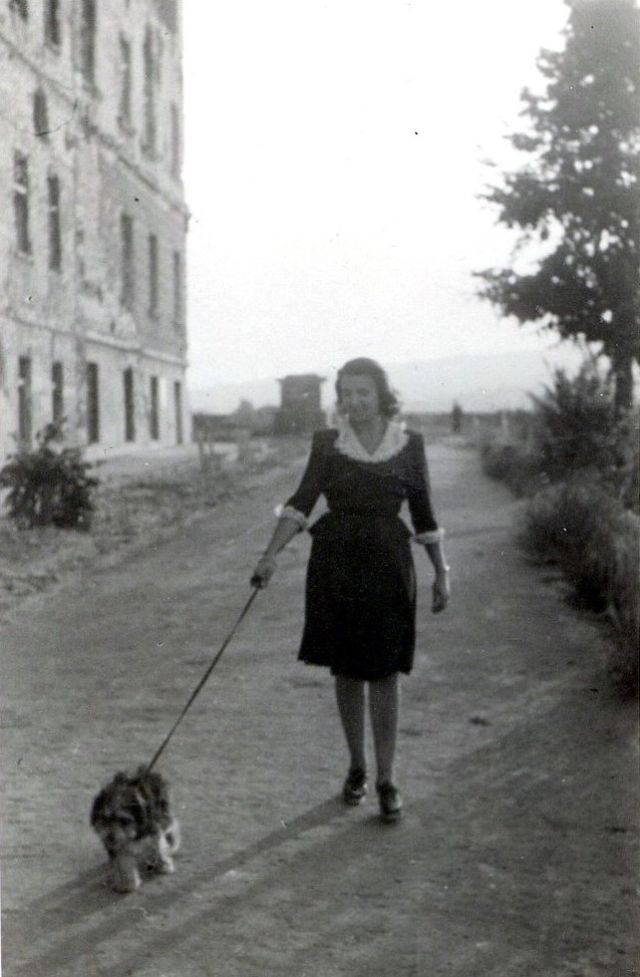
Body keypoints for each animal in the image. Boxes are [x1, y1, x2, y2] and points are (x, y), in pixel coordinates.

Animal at [90, 768, 181, 896]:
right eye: (105, 819)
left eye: (123, 820)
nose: (110, 837)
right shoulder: (120, 844)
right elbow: (124, 861)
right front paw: (127, 884)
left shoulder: (152, 826)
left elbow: (158, 846)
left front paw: (164, 864)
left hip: (162, 809)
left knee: (170, 824)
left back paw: (172, 843)